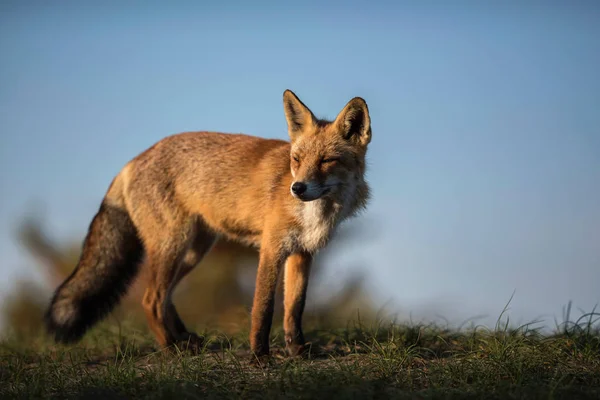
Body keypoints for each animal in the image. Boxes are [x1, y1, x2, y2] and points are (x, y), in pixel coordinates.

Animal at [45, 90, 370, 360]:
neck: (317, 212)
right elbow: (263, 309)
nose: (298, 188)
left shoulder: (302, 253)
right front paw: (260, 356)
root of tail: (135, 159)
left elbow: (294, 309)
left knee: (167, 297)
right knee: (151, 300)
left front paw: (298, 351)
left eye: (327, 160)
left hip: (193, 251)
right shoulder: (271, 249)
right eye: (297, 159)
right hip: (173, 244)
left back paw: (184, 339)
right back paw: (170, 349)